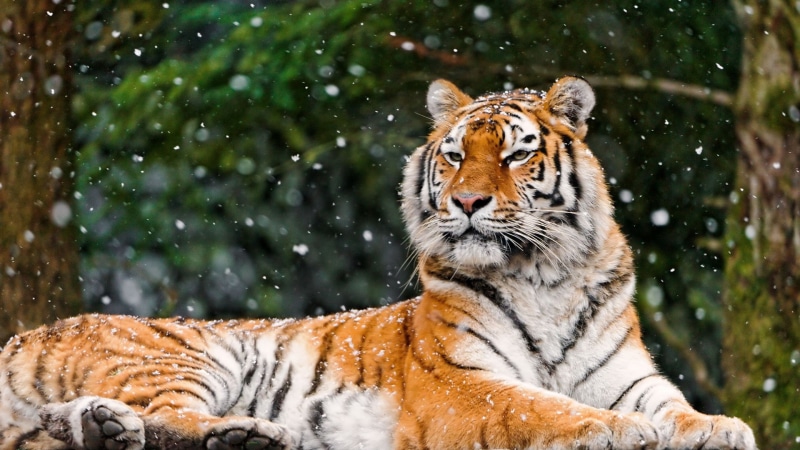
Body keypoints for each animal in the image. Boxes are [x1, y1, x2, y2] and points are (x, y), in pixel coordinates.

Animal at [0, 77, 757, 450]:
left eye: (516, 154)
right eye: (454, 154)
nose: (468, 201)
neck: (546, 275)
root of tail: (26, 333)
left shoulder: (626, 373)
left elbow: (674, 404)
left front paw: (721, 428)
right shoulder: (460, 382)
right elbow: (541, 406)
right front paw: (621, 431)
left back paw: (109, 429)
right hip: (183, 356)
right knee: (165, 418)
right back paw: (247, 436)